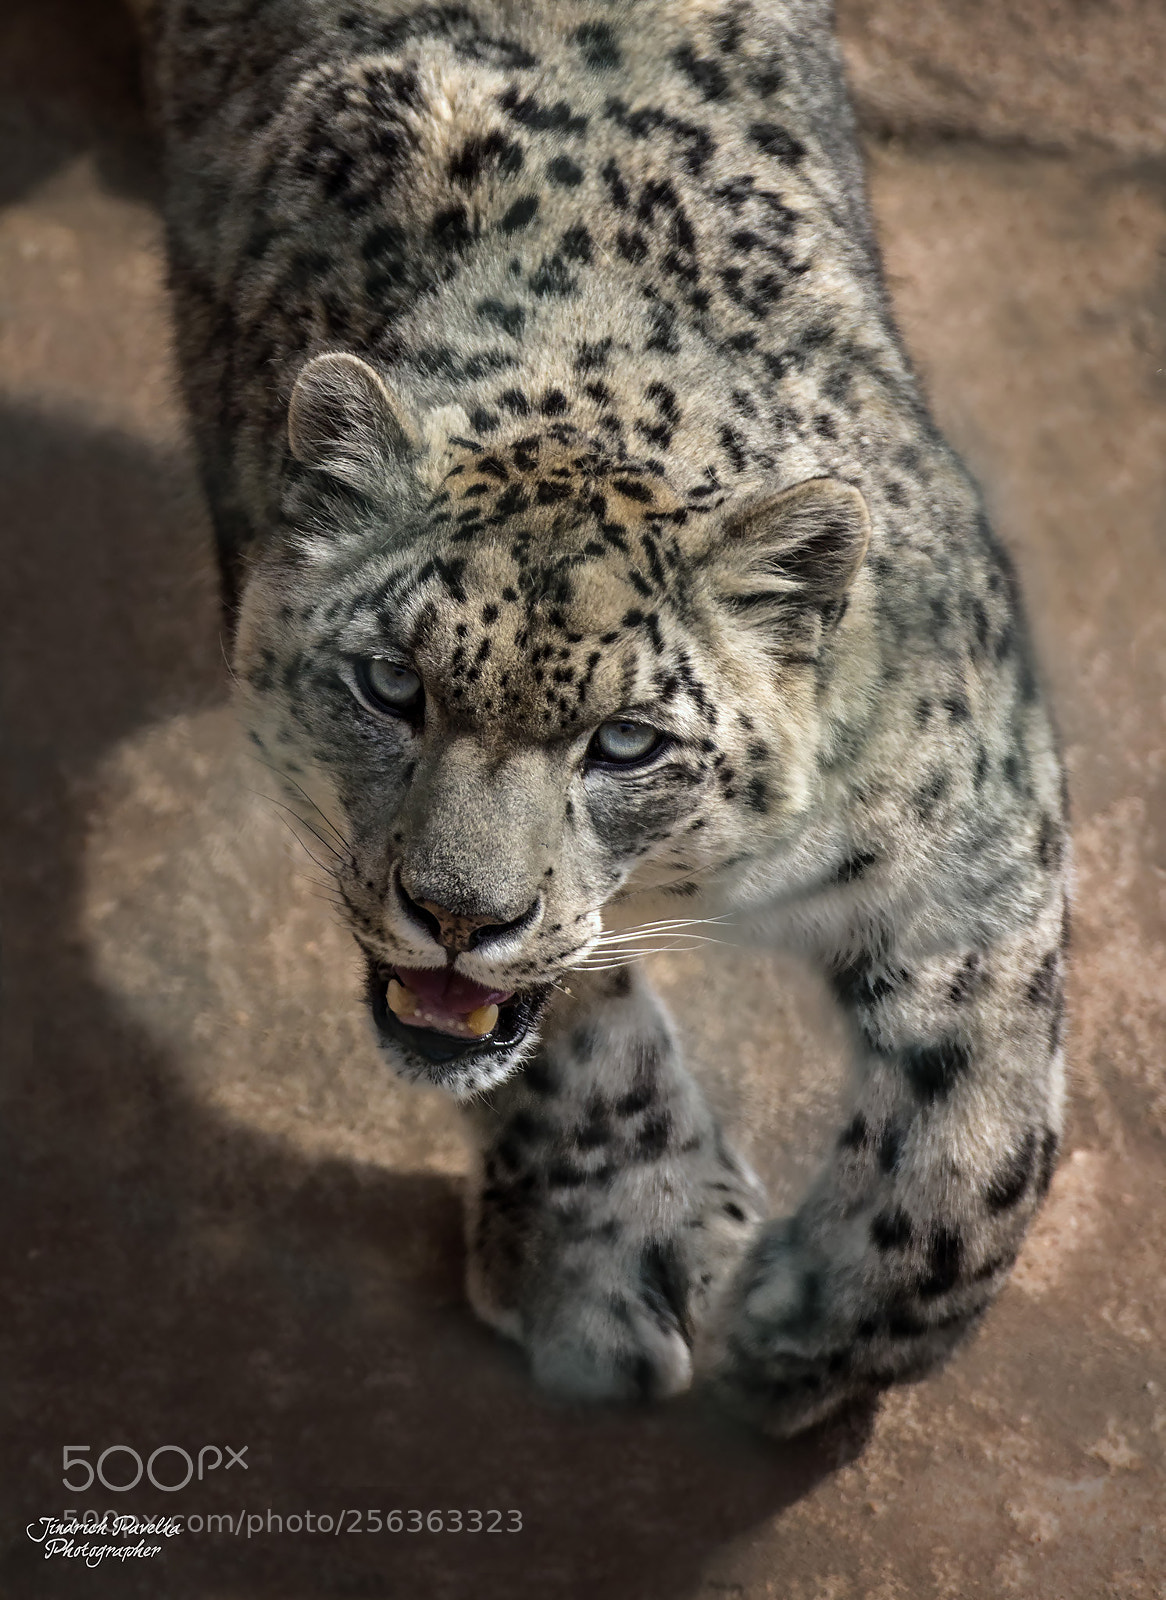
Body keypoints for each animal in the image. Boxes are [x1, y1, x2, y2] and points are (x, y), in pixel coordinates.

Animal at [147, 0, 1069, 1437]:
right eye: (391, 684)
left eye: (626, 742)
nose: (459, 915)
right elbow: (563, 1028)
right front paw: (615, 1253)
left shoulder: (971, 813)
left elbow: (980, 1121)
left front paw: (816, 1332)